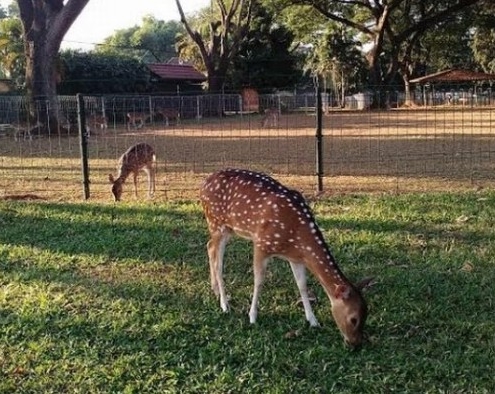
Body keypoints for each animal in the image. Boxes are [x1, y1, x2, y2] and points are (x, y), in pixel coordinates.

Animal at [202, 168, 372, 346]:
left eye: (366, 315)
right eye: (354, 319)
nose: (355, 344)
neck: (296, 234)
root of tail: (203, 184)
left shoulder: (295, 257)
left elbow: (302, 285)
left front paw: (313, 321)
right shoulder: (261, 243)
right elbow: (259, 281)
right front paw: (252, 316)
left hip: (227, 229)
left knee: (209, 247)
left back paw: (215, 290)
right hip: (216, 223)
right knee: (218, 262)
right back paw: (224, 304)